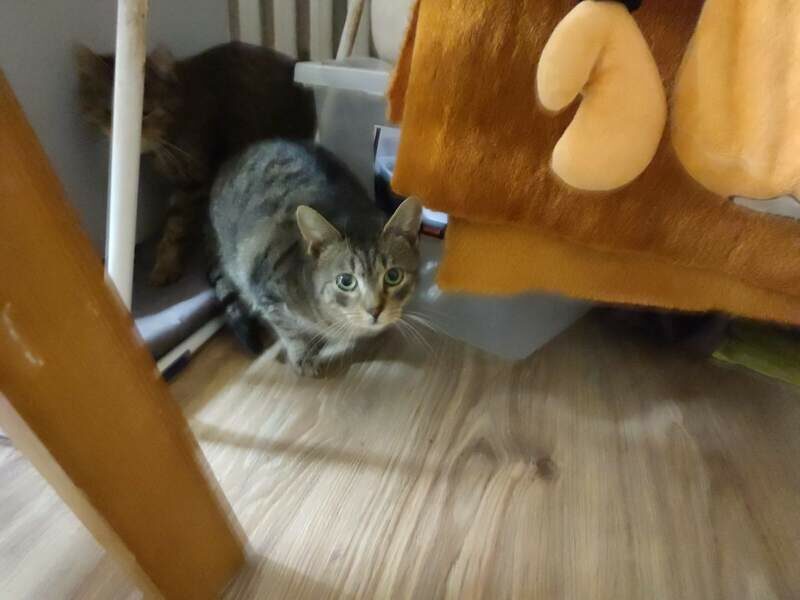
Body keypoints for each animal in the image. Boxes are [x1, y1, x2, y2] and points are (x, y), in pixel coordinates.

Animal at [208, 139, 422, 376]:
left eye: (393, 276)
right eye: (345, 281)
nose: (374, 311)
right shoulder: (266, 294)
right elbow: (290, 331)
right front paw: (302, 355)